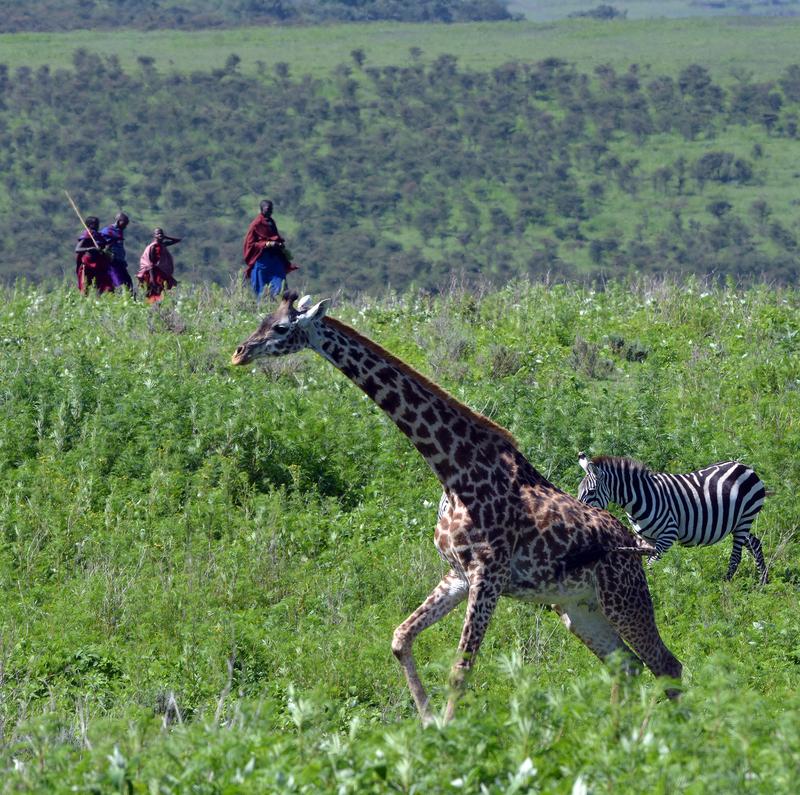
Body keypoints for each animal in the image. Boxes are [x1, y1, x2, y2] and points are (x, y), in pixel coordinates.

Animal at [233, 294, 680, 728]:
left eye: (281, 327)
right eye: (262, 318)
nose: (239, 352)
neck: (453, 469)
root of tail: (634, 542)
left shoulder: (489, 575)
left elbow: (460, 670)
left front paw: (447, 738)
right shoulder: (458, 574)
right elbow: (400, 638)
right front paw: (428, 723)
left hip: (622, 596)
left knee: (666, 665)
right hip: (578, 607)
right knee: (629, 666)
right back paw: (616, 735)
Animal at [576, 454, 768, 584]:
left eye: (591, 492)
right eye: (579, 490)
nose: (577, 513)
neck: (641, 498)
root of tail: (743, 465)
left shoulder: (668, 536)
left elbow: (651, 565)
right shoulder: (649, 539)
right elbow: (649, 565)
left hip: (745, 519)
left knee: (736, 556)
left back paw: (726, 583)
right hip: (737, 523)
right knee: (755, 543)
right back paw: (763, 581)